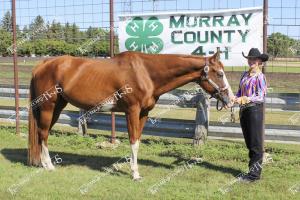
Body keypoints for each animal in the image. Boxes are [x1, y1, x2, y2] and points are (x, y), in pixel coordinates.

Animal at [28, 50, 234, 180]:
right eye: (220, 73)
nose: (231, 99)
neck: (146, 73)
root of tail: (43, 64)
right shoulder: (132, 111)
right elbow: (133, 142)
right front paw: (135, 174)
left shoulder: (143, 113)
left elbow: (138, 142)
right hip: (48, 107)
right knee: (43, 133)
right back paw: (49, 165)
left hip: (57, 107)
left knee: (42, 133)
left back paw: (42, 163)